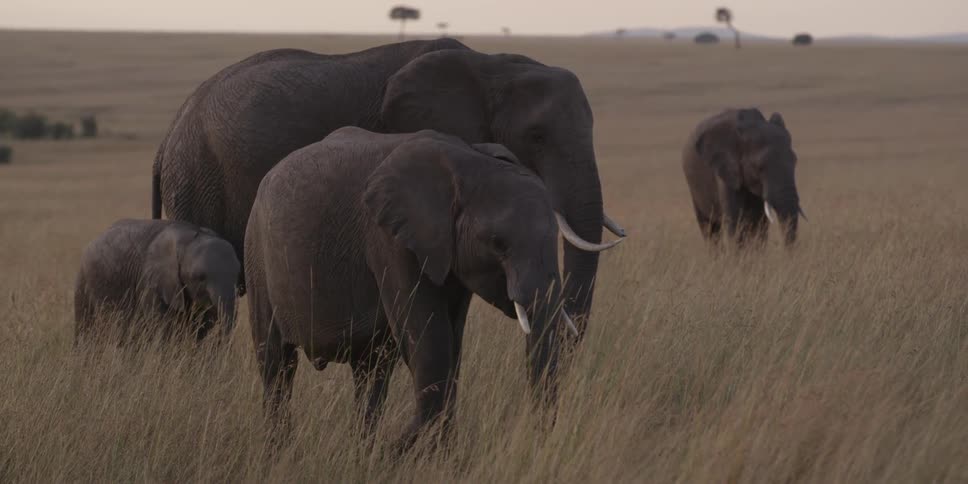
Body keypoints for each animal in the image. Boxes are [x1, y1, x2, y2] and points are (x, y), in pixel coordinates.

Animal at [74, 219, 240, 344]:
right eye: (200, 277)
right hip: (84, 279)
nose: (218, 342)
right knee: (84, 326)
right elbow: (162, 327)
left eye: (238, 275)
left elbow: (200, 327)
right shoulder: (150, 282)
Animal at [244, 127, 583, 448]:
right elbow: (431, 345)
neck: (468, 161)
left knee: (371, 374)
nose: (392, 444)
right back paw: (282, 451)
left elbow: (452, 346)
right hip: (257, 253)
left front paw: (438, 456)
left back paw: (362, 450)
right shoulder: (390, 240)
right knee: (277, 365)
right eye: (498, 244)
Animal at [682, 108, 805, 245]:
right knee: (709, 229)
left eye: (795, 161)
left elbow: (760, 225)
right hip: (694, 189)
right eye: (759, 167)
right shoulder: (726, 171)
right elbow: (735, 224)